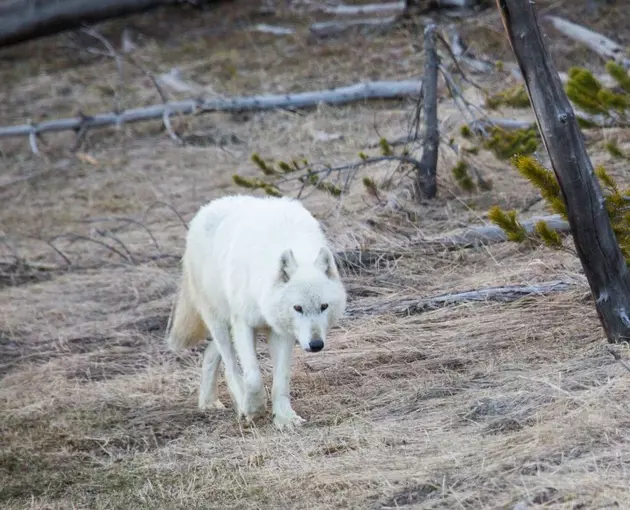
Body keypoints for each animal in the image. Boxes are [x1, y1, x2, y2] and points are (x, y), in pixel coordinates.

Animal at [165, 193, 348, 428]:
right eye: (298, 308)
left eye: (323, 307)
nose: (316, 345)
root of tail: (209, 206)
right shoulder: (244, 324)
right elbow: (253, 377)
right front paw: (254, 409)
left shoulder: (282, 331)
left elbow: (281, 379)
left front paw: (285, 418)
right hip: (219, 321)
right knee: (231, 367)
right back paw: (239, 405)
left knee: (210, 354)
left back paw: (208, 402)